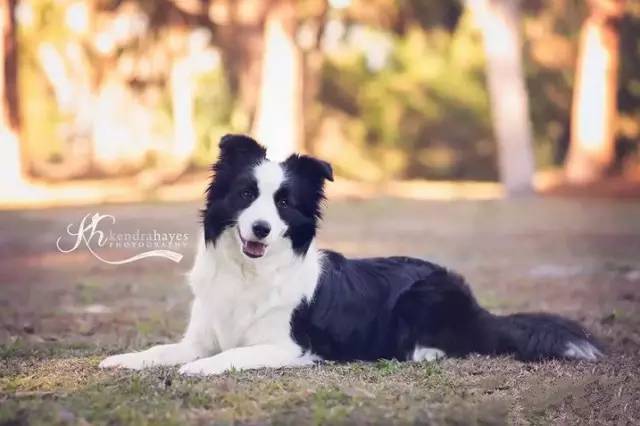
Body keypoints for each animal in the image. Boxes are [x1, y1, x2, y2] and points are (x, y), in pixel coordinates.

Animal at [101, 135, 604, 374]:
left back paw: (423, 352)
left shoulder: (290, 346)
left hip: (424, 294)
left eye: (284, 203)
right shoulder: (199, 335)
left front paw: (197, 369)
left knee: (462, 342)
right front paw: (122, 360)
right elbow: (163, 350)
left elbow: (228, 356)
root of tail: (480, 307)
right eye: (246, 194)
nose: (261, 228)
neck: (248, 272)